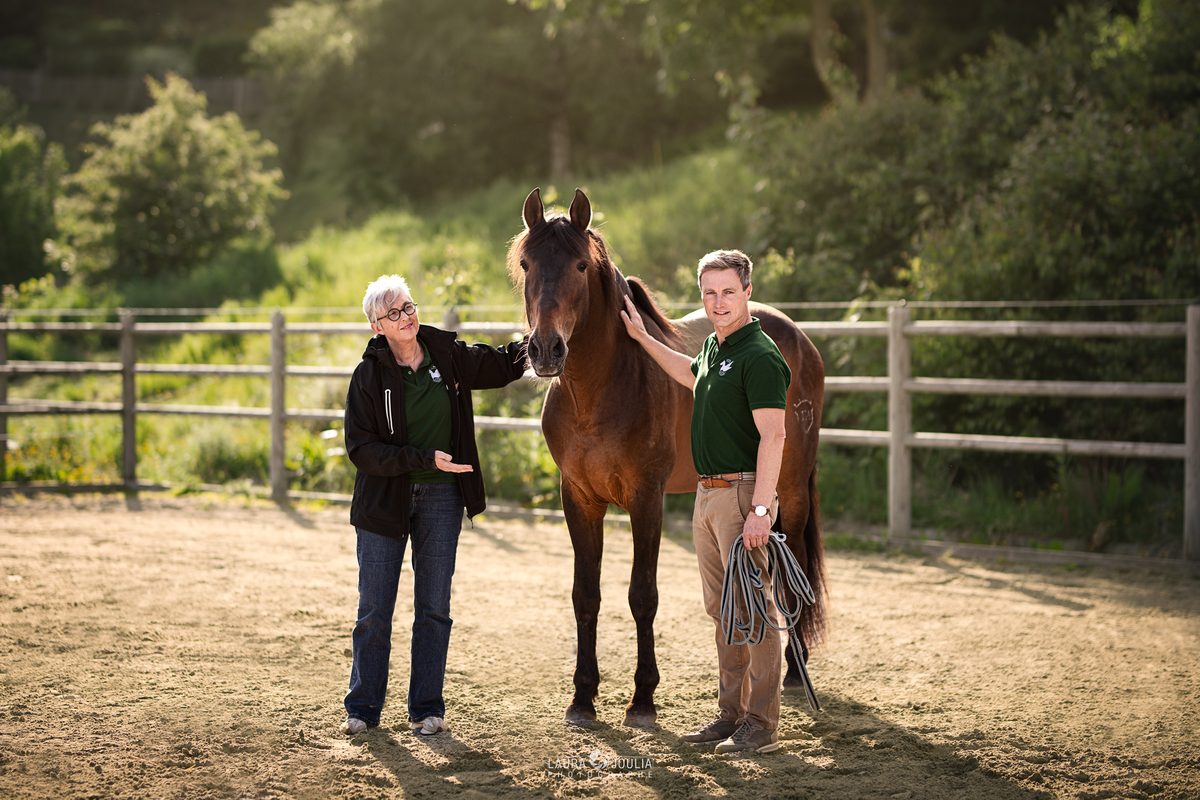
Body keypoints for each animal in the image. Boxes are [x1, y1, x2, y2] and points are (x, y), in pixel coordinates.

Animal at [507, 187, 826, 728]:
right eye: (528, 264)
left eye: (578, 265)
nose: (546, 350)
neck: (601, 389)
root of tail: (799, 339)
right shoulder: (579, 500)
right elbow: (585, 595)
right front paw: (583, 697)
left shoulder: (646, 498)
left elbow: (642, 595)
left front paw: (642, 698)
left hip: (790, 485)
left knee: (794, 567)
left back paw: (791, 670)